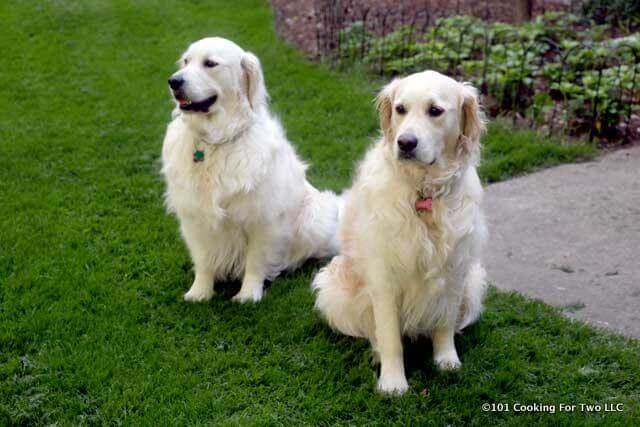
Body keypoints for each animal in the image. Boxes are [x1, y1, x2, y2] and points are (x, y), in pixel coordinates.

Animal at [161, 37, 340, 304]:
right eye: (186, 61)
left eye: (210, 63)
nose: (174, 81)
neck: (215, 141)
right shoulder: (195, 215)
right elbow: (203, 260)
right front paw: (200, 292)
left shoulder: (263, 217)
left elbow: (255, 261)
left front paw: (248, 295)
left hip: (315, 217)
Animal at [312, 70, 488, 394]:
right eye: (400, 109)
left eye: (435, 110)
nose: (405, 143)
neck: (423, 191)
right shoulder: (384, 277)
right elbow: (390, 336)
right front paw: (393, 382)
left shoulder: (455, 270)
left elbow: (444, 323)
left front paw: (447, 360)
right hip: (331, 288)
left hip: (475, 282)